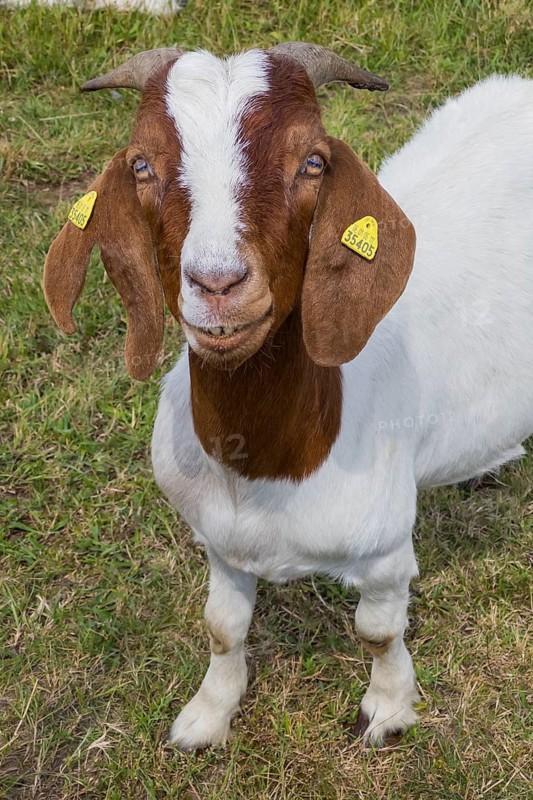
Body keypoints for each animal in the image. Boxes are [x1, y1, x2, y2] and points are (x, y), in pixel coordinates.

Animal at [43, 44, 533, 749]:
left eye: (313, 162)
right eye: (141, 164)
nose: (219, 285)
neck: (263, 466)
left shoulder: (385, 552)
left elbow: (377, 632)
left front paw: (388, 709)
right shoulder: (219, 542)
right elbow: (222, 627)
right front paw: (207, 716)